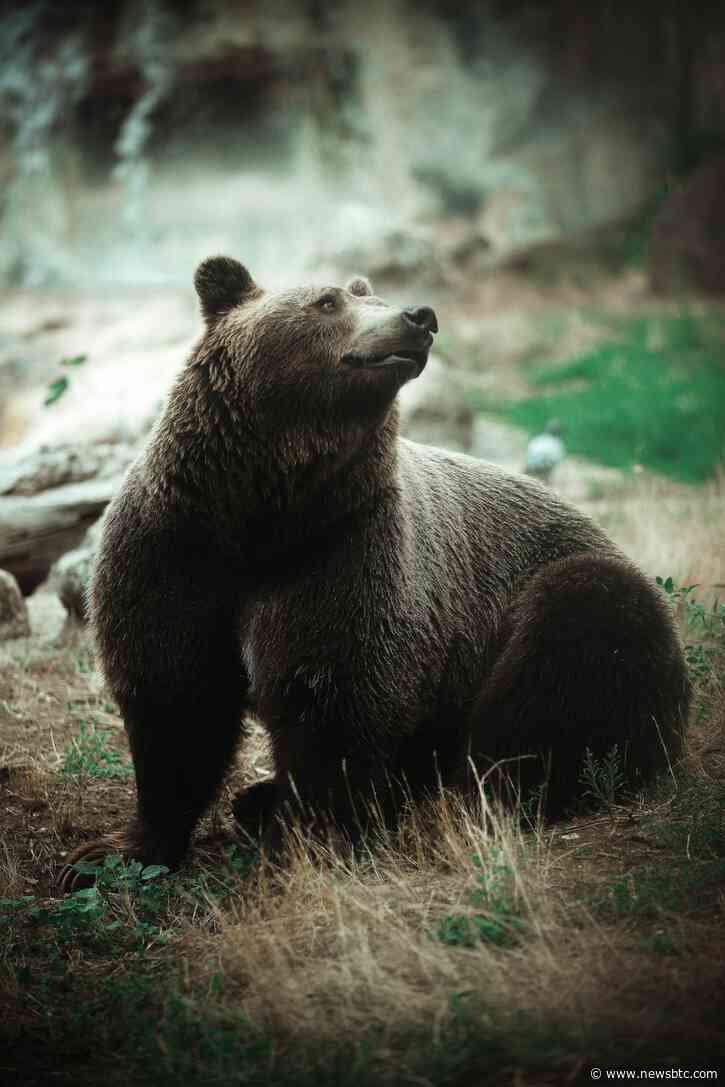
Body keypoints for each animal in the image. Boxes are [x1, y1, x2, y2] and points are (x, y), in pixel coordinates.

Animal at [57, 256, 690, 889]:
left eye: (371, 295)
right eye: (328, 301)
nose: (419, 317)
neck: (261, 513)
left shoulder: (343, 553)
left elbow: (331, 697)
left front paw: (313, 840)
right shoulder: (176, 551)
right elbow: (176, 701)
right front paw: (109, 854)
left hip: (563, 596)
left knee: (570, 653)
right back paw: (260, 799)